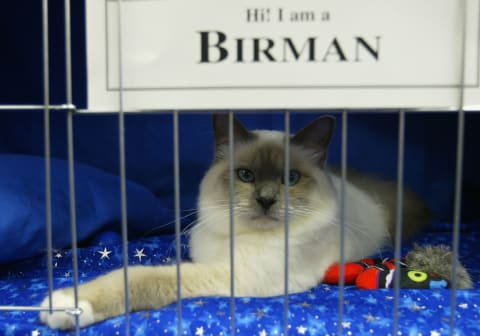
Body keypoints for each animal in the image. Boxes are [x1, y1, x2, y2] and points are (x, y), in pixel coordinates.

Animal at [39, 114, 432, 330]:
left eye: (290, 179)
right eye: (245, 175)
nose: (266, 200)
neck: (233, 235)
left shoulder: (231, 275)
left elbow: (139, 277)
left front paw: (65, 305)